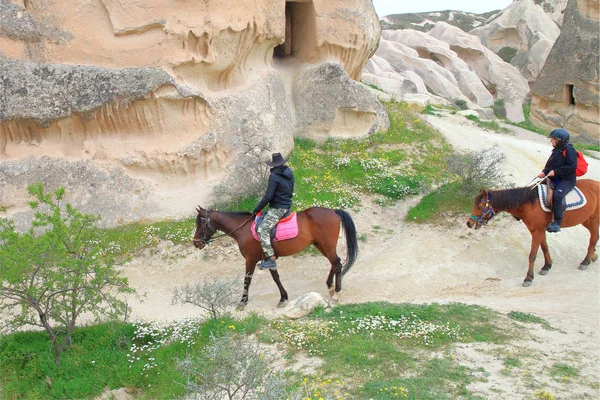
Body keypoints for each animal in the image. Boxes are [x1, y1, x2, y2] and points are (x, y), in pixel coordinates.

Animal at [195, 206, 358, 310]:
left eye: (200, 223)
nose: (196, 242)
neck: (243, 229)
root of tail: (333, 211)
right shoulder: (269, 259)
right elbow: (276, 278)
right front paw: (283, 298)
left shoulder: (250, 259)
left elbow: (247, 280)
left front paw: (242, 303)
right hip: (320, 245)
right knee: (334, 263)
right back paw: (330, 286)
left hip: (326, 244)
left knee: (336, 263)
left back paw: (337, 293)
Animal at [468, 180, 600, 286]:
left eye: (480, 206)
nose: (469, 223)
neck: (528, 203)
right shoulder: (536, 230)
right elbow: (544, 246)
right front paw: (547, 266)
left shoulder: (538, 231)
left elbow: (532, 255)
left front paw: (528, 278)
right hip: (586, 220)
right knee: (595, 237)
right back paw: (592, 256)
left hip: (594, 219)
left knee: (593, 238)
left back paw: (585, 261)